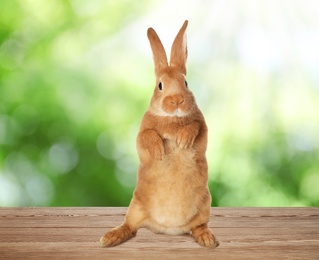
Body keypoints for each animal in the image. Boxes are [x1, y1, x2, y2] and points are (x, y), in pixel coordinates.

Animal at [100, 19, 220, 248]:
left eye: (186, 83)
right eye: (160, 85)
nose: (177, 101)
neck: (171, 118)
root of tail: (168, 229)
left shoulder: (203, 129)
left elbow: (195, 127)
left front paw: (182, 141)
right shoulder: (141, 133)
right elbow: (147, 136)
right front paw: (159, 151)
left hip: (204, 207)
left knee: (199, 227)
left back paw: (208, 240)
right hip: (135, 207)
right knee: (129, 226)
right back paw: (109, 238)